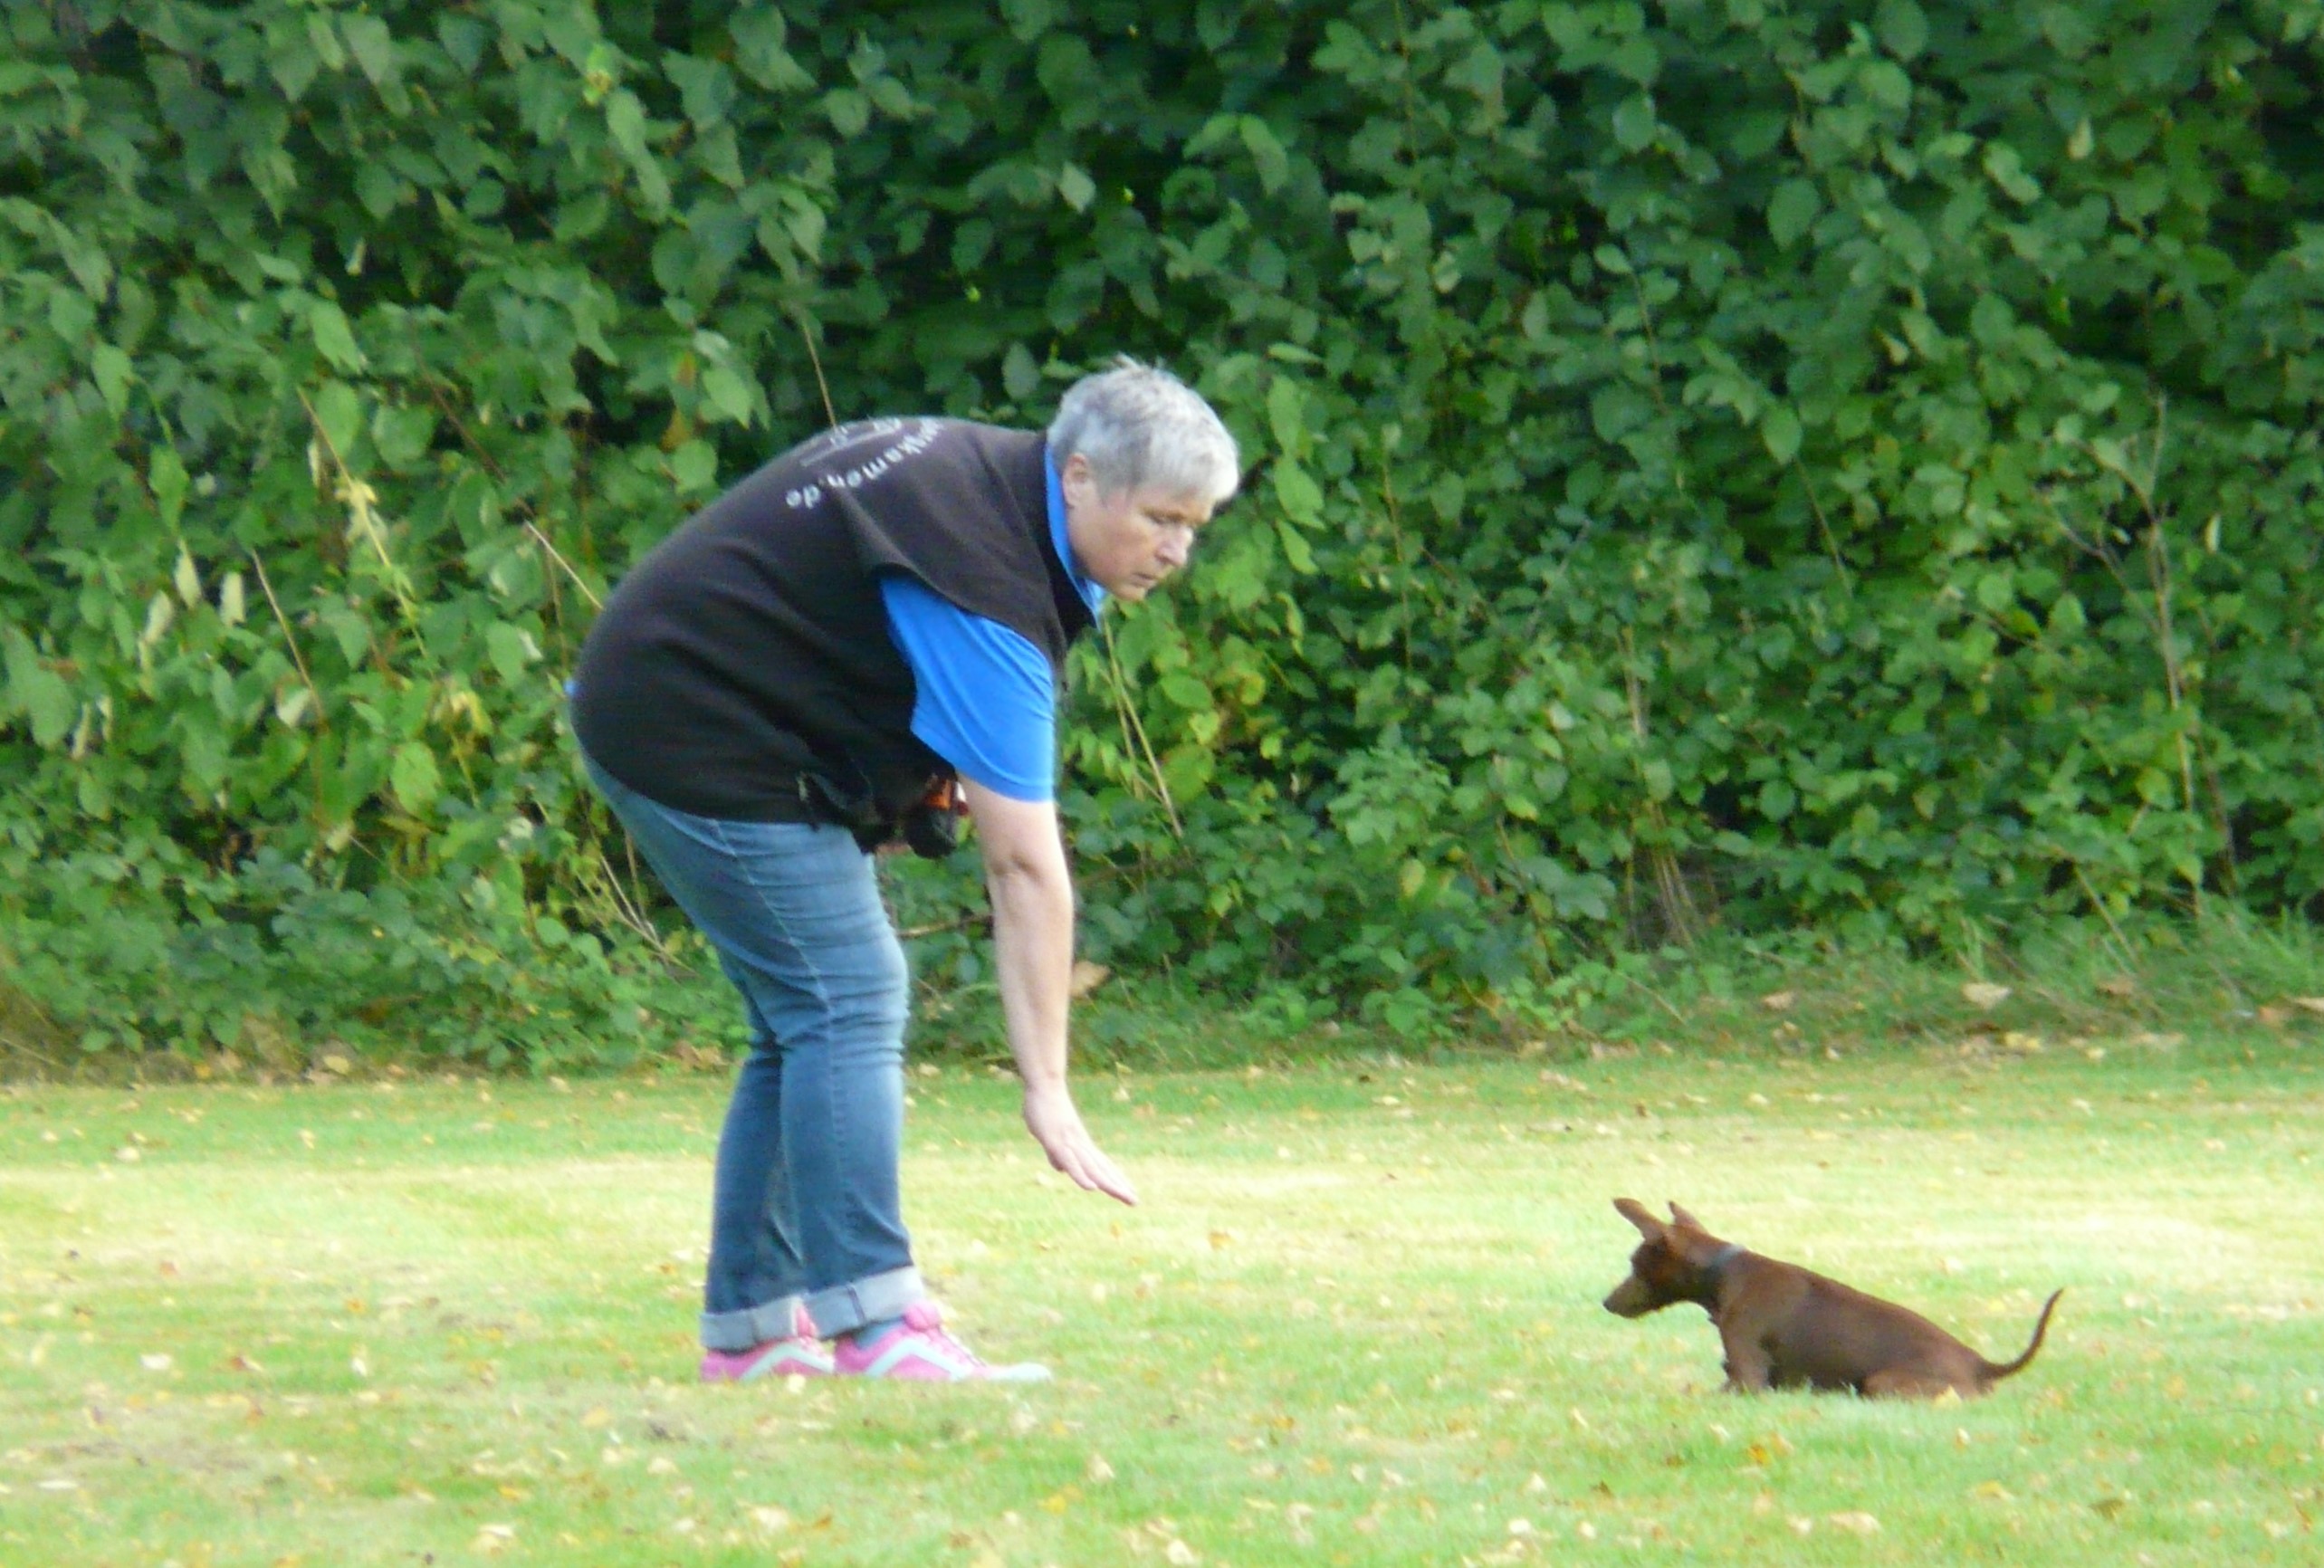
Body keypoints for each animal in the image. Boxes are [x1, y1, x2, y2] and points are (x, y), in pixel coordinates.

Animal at [1599, 1199, 2072, 1402]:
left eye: (1633, 1263)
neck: (1723, 1271)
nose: (1606, 1302)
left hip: (1883, 1383)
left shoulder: (1748, 1379)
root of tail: (1980, 1364)